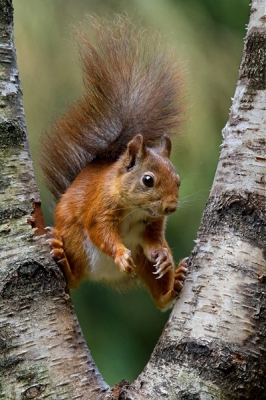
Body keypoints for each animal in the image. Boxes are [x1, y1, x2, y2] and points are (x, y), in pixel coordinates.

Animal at [41, 14, 187, 310]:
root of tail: (104, 276)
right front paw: (120, 253)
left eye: (178, 180)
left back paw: (172, 285)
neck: (135, 208)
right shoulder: (101, 207)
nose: (171, 208)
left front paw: (163, 254)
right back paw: (63, 260)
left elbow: (154, 240)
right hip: (75, 241)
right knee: (74, 278)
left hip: (143, 263)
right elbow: (100, 230)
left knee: (158, 296)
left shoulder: (152, 225)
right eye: (147, 180)